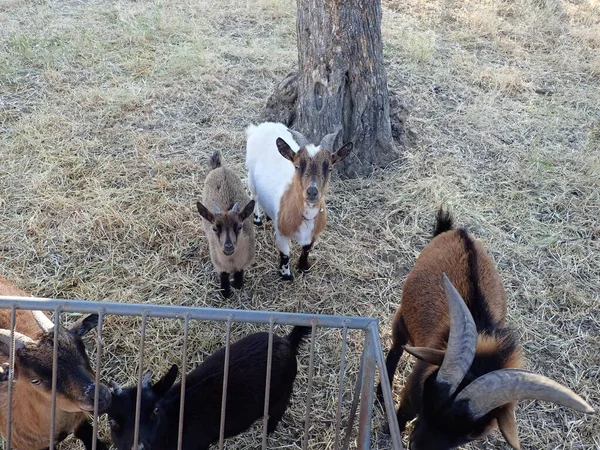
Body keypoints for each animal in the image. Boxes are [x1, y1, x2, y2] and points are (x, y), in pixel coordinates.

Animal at [196, 151, 254, 298]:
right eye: (215, 228)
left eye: (239, 226)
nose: (228, 246)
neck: (232, 262)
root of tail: (220, 167)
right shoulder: (218, 263)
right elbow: (223, 276)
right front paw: (225, 292)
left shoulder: (244, 262)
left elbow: (239, 276)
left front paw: (236, 284)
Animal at [246, 121, 354, 280]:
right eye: (297, 166)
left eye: (329, 168)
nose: (312, 191)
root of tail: (263, 125)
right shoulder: (282, 234)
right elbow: (285, 254)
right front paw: (286, 275)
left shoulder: (314, 234)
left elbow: (306, 250)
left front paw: (304, 267)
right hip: (251, 175)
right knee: (253, 196)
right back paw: (258, 219)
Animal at [380, 211, 596, 450]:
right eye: (428, 389)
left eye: (475, 431)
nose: (417, 445)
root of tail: (457, 232)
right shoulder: (412, 392)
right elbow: (403, 414)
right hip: (403, 317)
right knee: (397, 345)